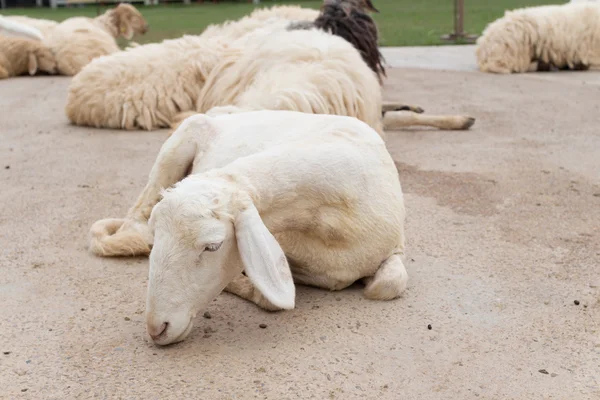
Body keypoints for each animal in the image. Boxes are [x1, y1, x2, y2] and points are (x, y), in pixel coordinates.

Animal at [88, 110, 408, 346]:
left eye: (212, 246)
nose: (157, 328)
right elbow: (271, 297)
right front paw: (241, 284)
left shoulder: (394, 247)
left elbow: (388, 285)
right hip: (176, 145)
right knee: (135, 220)